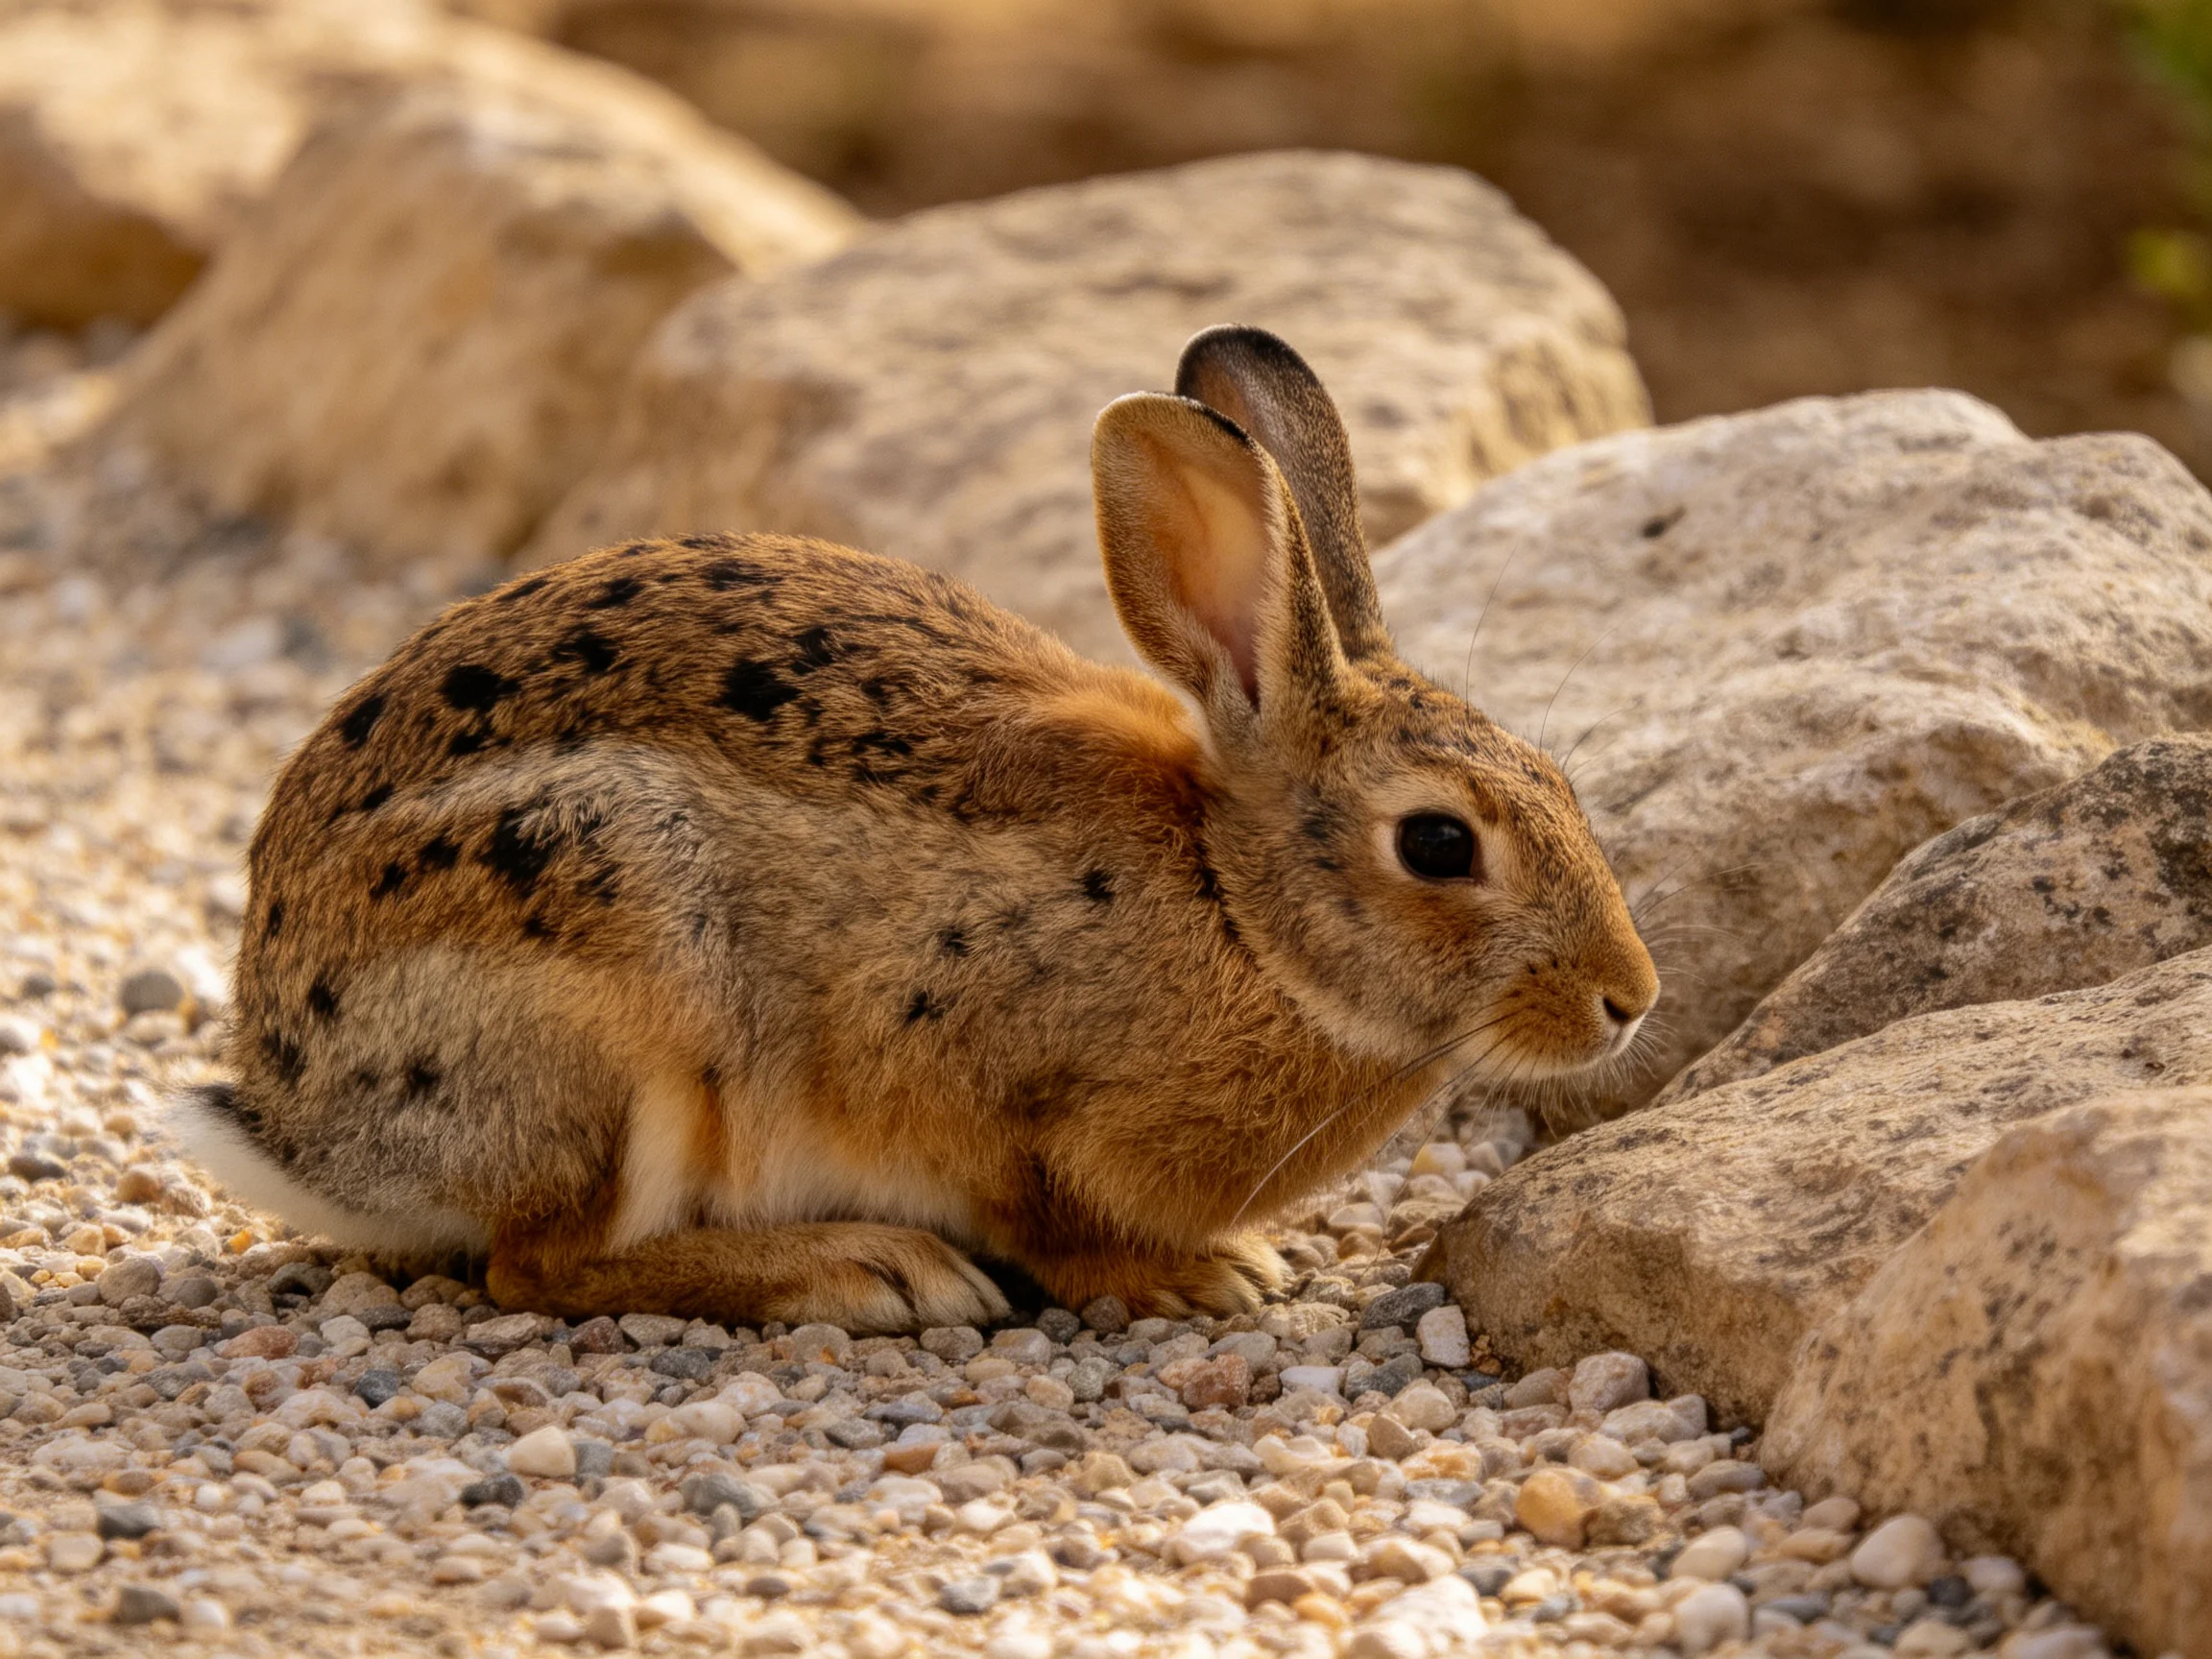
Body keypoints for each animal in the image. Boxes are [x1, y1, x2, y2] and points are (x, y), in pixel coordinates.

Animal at [175, 324, 1658, 1334]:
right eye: (1440, 845)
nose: (1628, 1000)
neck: (1240, 910)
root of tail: (303, 1116)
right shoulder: (972, 1082)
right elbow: (1046, 1218)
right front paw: (1206, 1275)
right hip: (614, 979)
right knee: (539, 1263)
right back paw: (862, 1270)